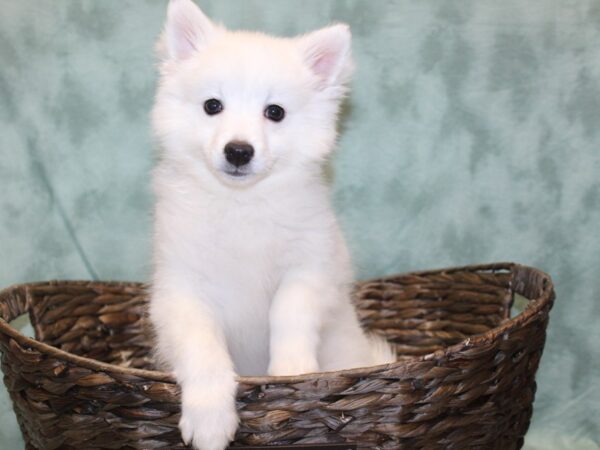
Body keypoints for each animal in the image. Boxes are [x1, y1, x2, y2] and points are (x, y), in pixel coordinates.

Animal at [148, 0, 396, 446]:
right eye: (213, 106)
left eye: (274, 112)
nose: (239, 151)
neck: (241, 203)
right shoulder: (182, 289)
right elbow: (203, 347)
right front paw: (209, 417)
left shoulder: (309, 267)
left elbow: (288, 312)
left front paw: (293, 371)